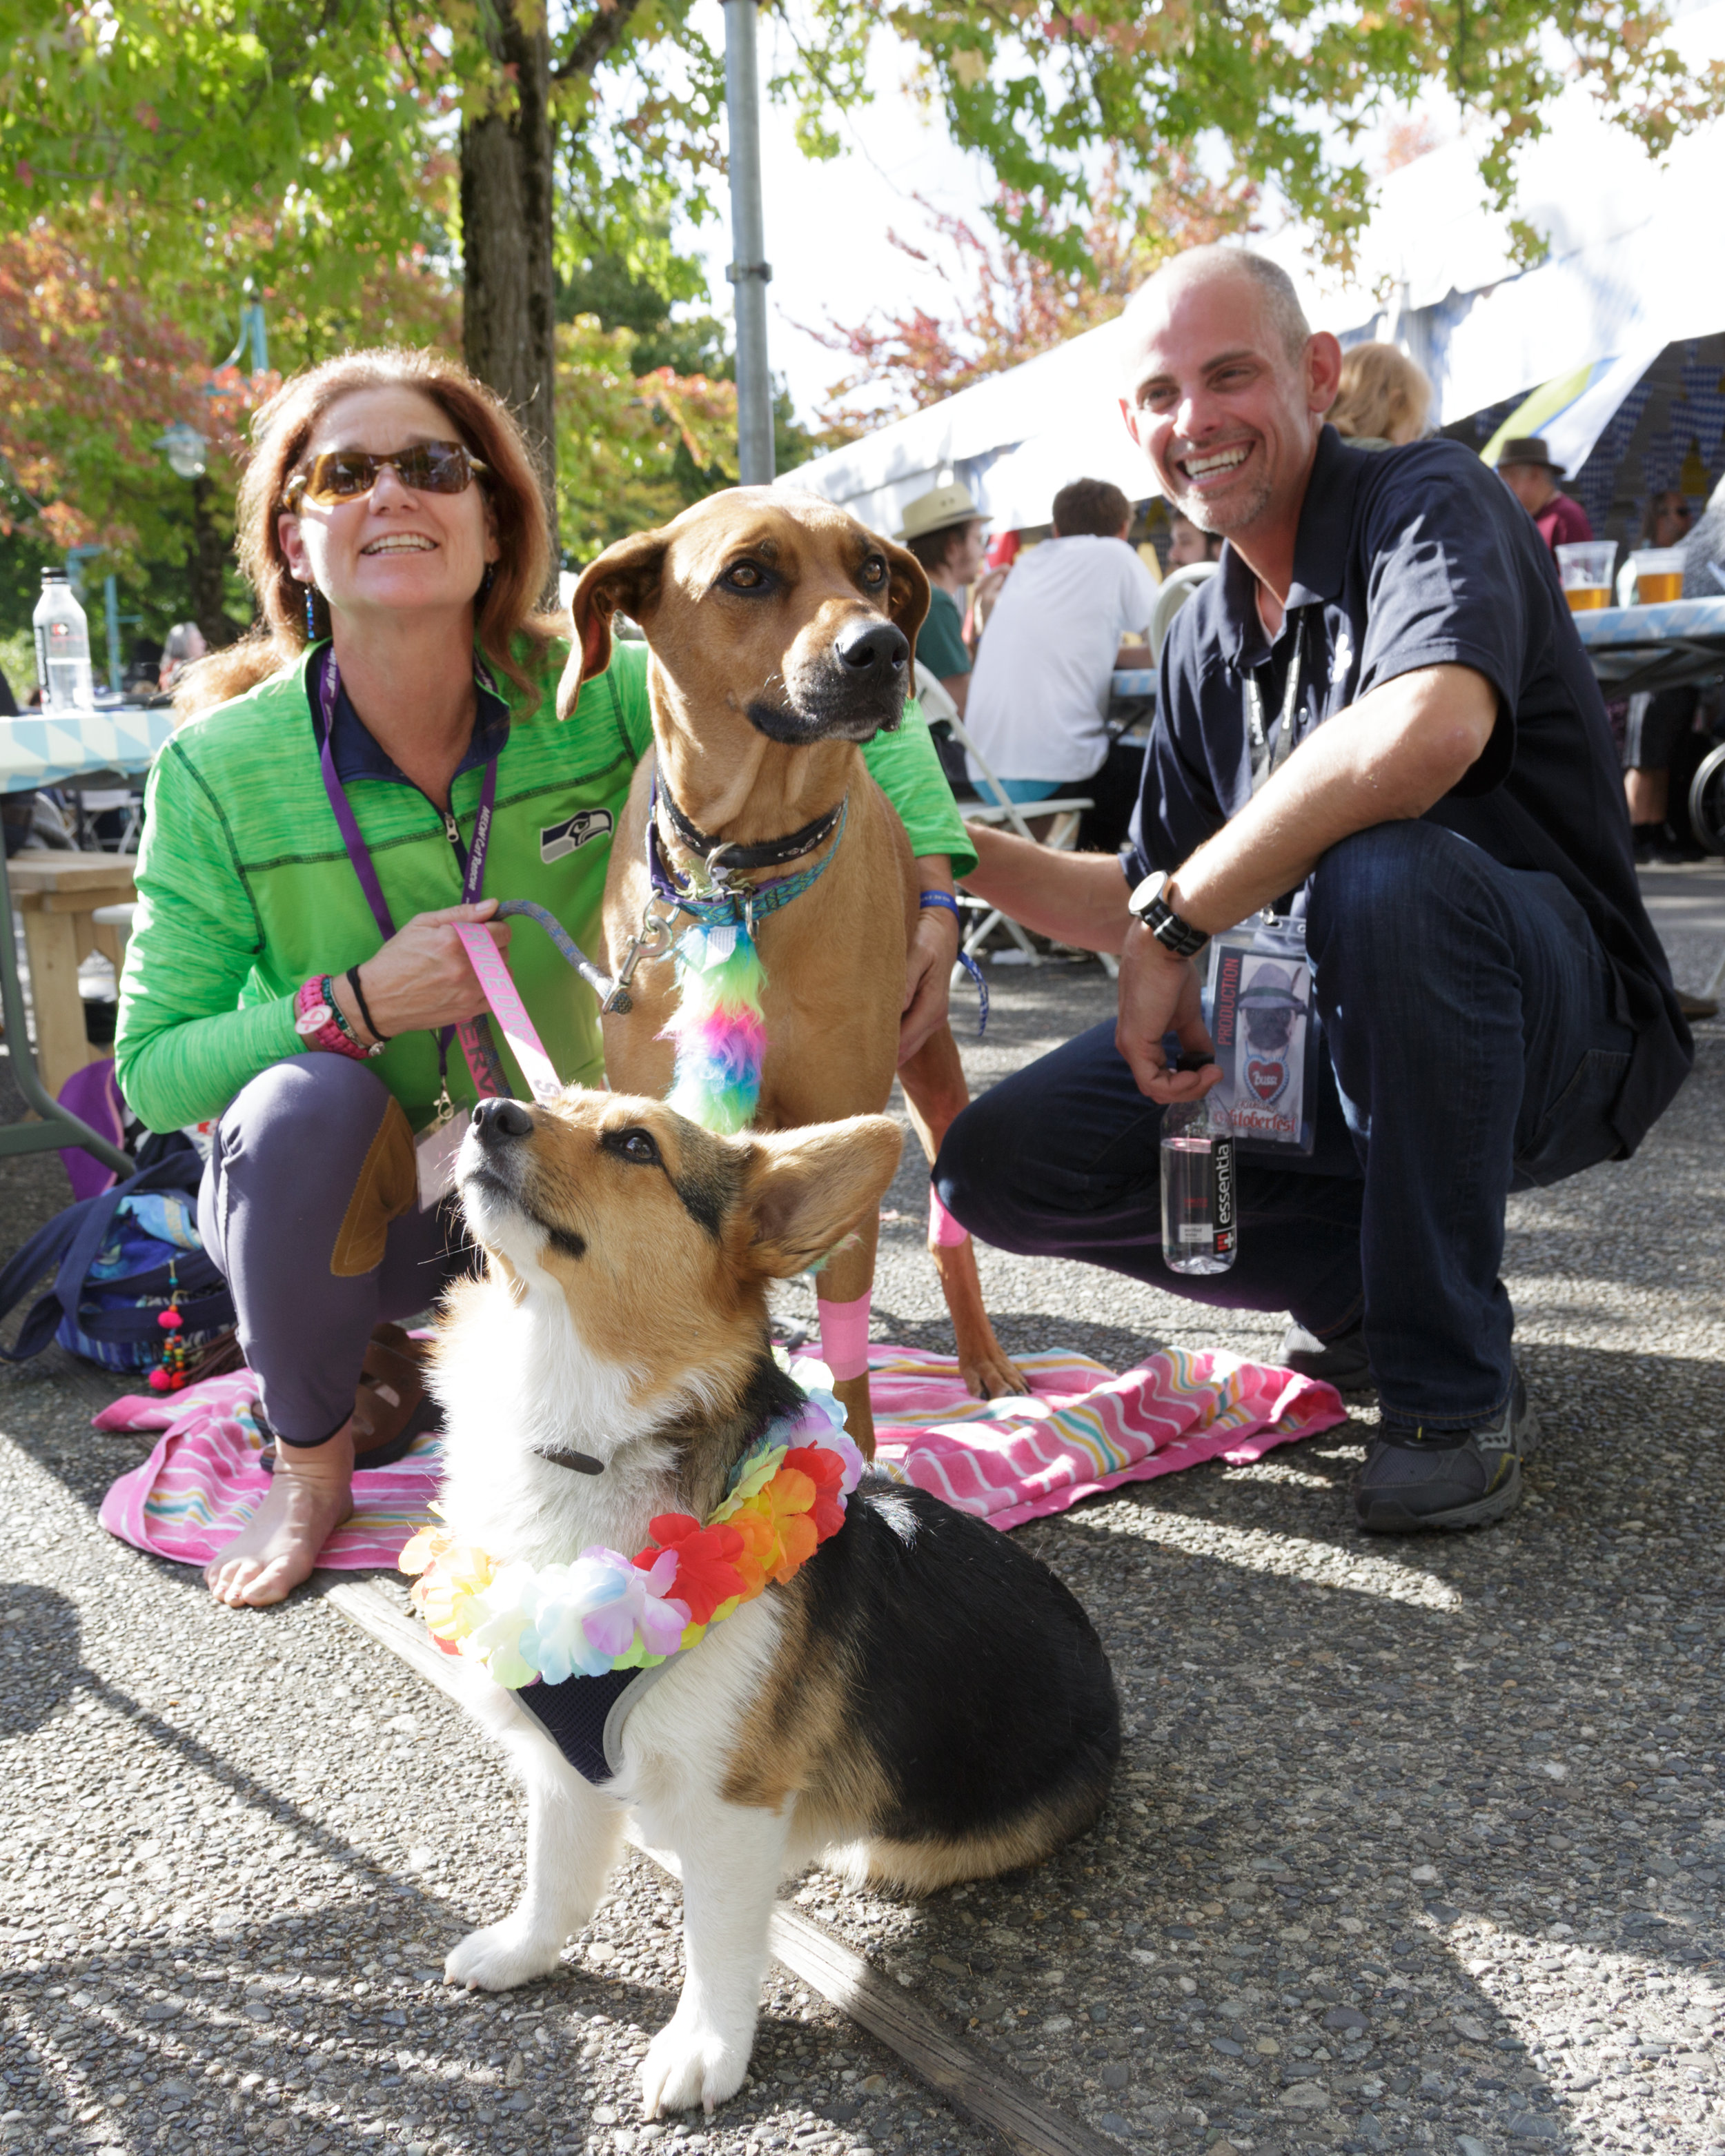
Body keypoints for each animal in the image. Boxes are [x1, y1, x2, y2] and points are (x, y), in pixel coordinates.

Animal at [420, 1095, 1121, 2122]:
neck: (583, 1436)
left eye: (636, 1144)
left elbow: (714, 1940)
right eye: (547, 1098)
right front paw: (521, 1950)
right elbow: (553, 1871)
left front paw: (704, 2048)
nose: (490, 1110)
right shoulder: (558, 1763)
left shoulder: (730, 1801)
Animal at [564, 493, 1026, 1449]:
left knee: (949, 1236)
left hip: (933, 1070)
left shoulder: (842, 1135)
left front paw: (851, 1454)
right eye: (747, 573)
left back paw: (983, 1355)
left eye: (874, 569)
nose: (883, 648)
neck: (743, 873)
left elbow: (849, 1353)